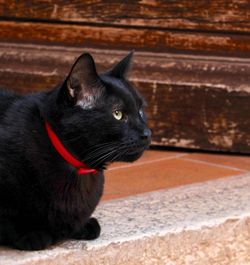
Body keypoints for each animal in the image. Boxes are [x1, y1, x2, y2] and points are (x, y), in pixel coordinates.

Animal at [0, 51, 150, 250]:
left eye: (140, 111)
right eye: (118, 114)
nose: (147, 133)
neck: (79, 169)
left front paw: (82, 226)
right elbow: (9, 218)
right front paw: (30, 233)